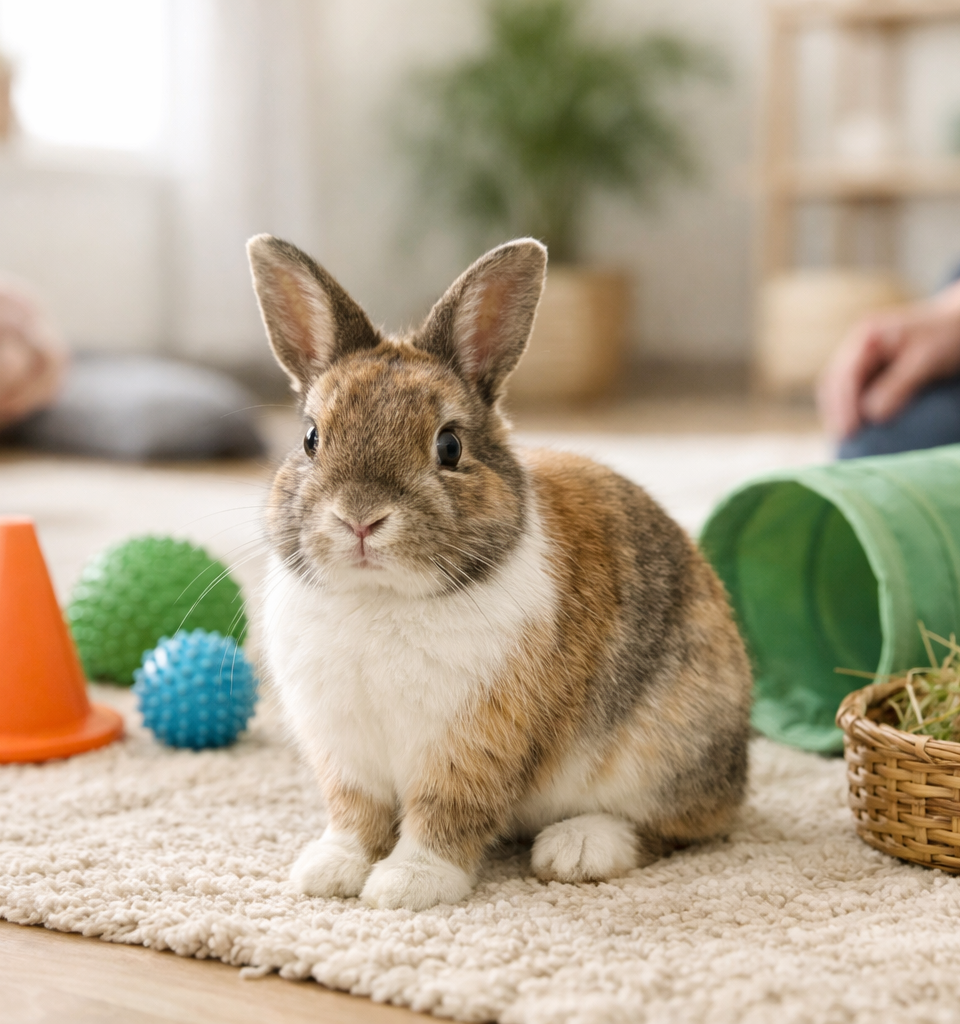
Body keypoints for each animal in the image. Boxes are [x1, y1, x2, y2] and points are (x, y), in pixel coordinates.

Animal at [248, 234, 753, 912]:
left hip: (664, 749)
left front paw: (408, 886)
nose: (360, 518)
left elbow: (443, 816)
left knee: (676, 828)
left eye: (449, 446)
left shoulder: (470, 748)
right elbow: (356, 818)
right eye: (310, 437)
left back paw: (577, 849)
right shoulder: (347, 757)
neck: (380, 596)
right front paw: (328, 872)